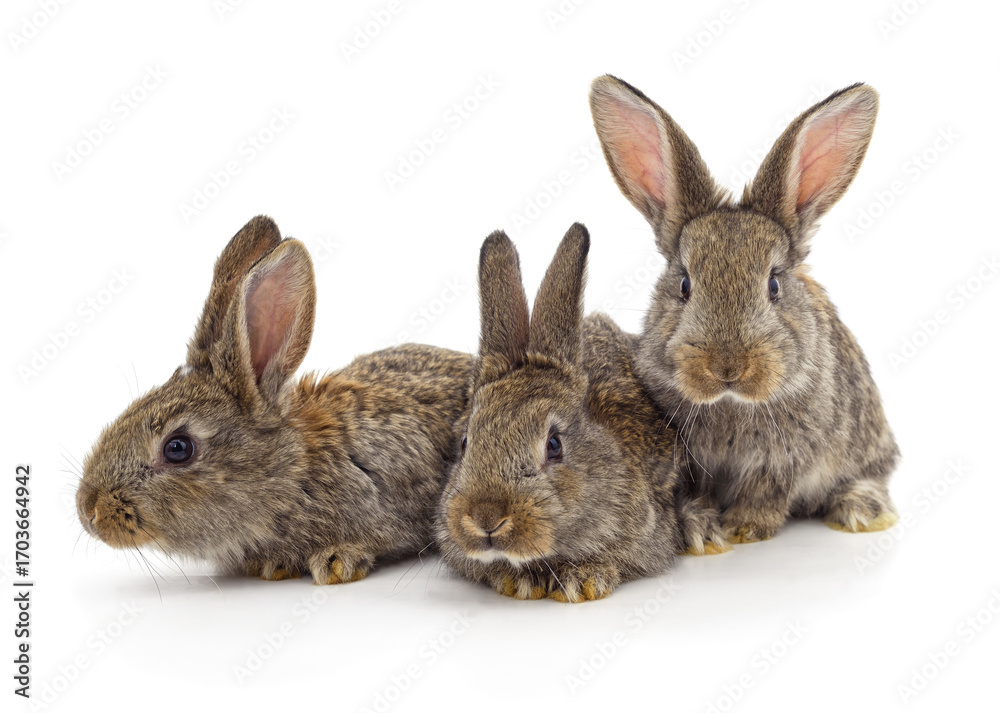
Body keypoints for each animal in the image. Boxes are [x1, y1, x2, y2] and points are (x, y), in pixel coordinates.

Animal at [588, 75, 900, 544]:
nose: (728, 366)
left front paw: (743, 529)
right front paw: (700, 530)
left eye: (774, 284)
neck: (731, 401)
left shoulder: (785, 457)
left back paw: (862, 510)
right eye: (684, 285)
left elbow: (766, 491)